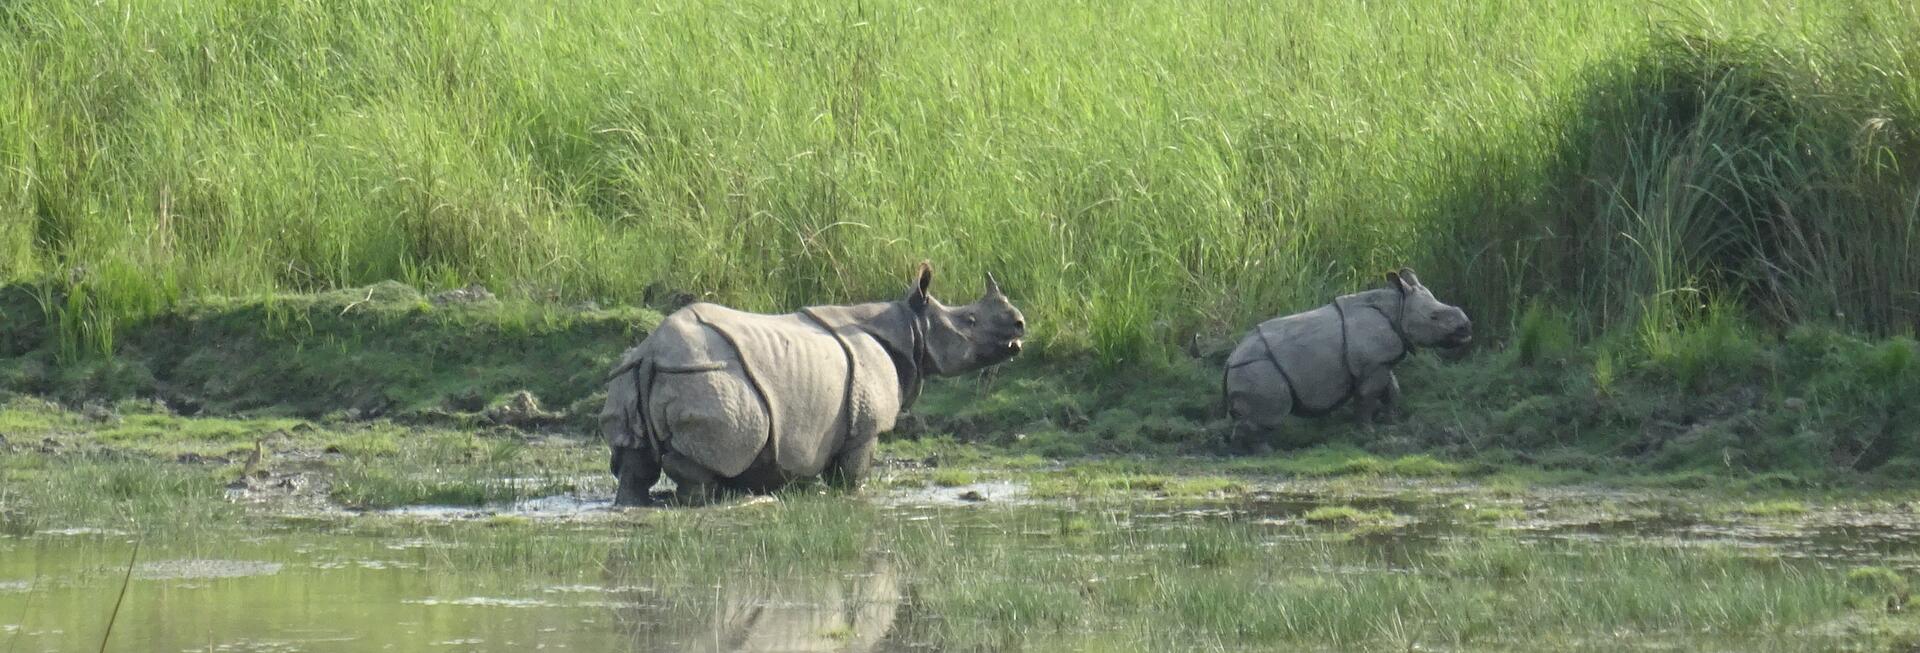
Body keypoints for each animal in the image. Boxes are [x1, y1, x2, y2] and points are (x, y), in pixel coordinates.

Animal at [601, 262, 1026, 505]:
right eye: (970, 321)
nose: (1020, 325)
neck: (911, 327)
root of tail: (653, 354)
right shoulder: (863, 426)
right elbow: (851, 475)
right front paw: (852, 497)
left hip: (628, 376)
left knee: (634, 463)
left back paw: (633, 505)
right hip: (708, 378)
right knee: (711, 461)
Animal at [1223, 267, 1471, 453]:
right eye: (1434, 317)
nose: (1466, 328)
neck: (1398, 307)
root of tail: (1229, 362)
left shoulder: (1380, 361)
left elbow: (1392, 389)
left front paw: (1391, 422)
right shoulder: (1372, 365)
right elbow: (1367, 397)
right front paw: (1367, 432)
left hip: (1252, 369)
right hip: (1259, 369)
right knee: (1269, 414)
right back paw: (1265, 452)